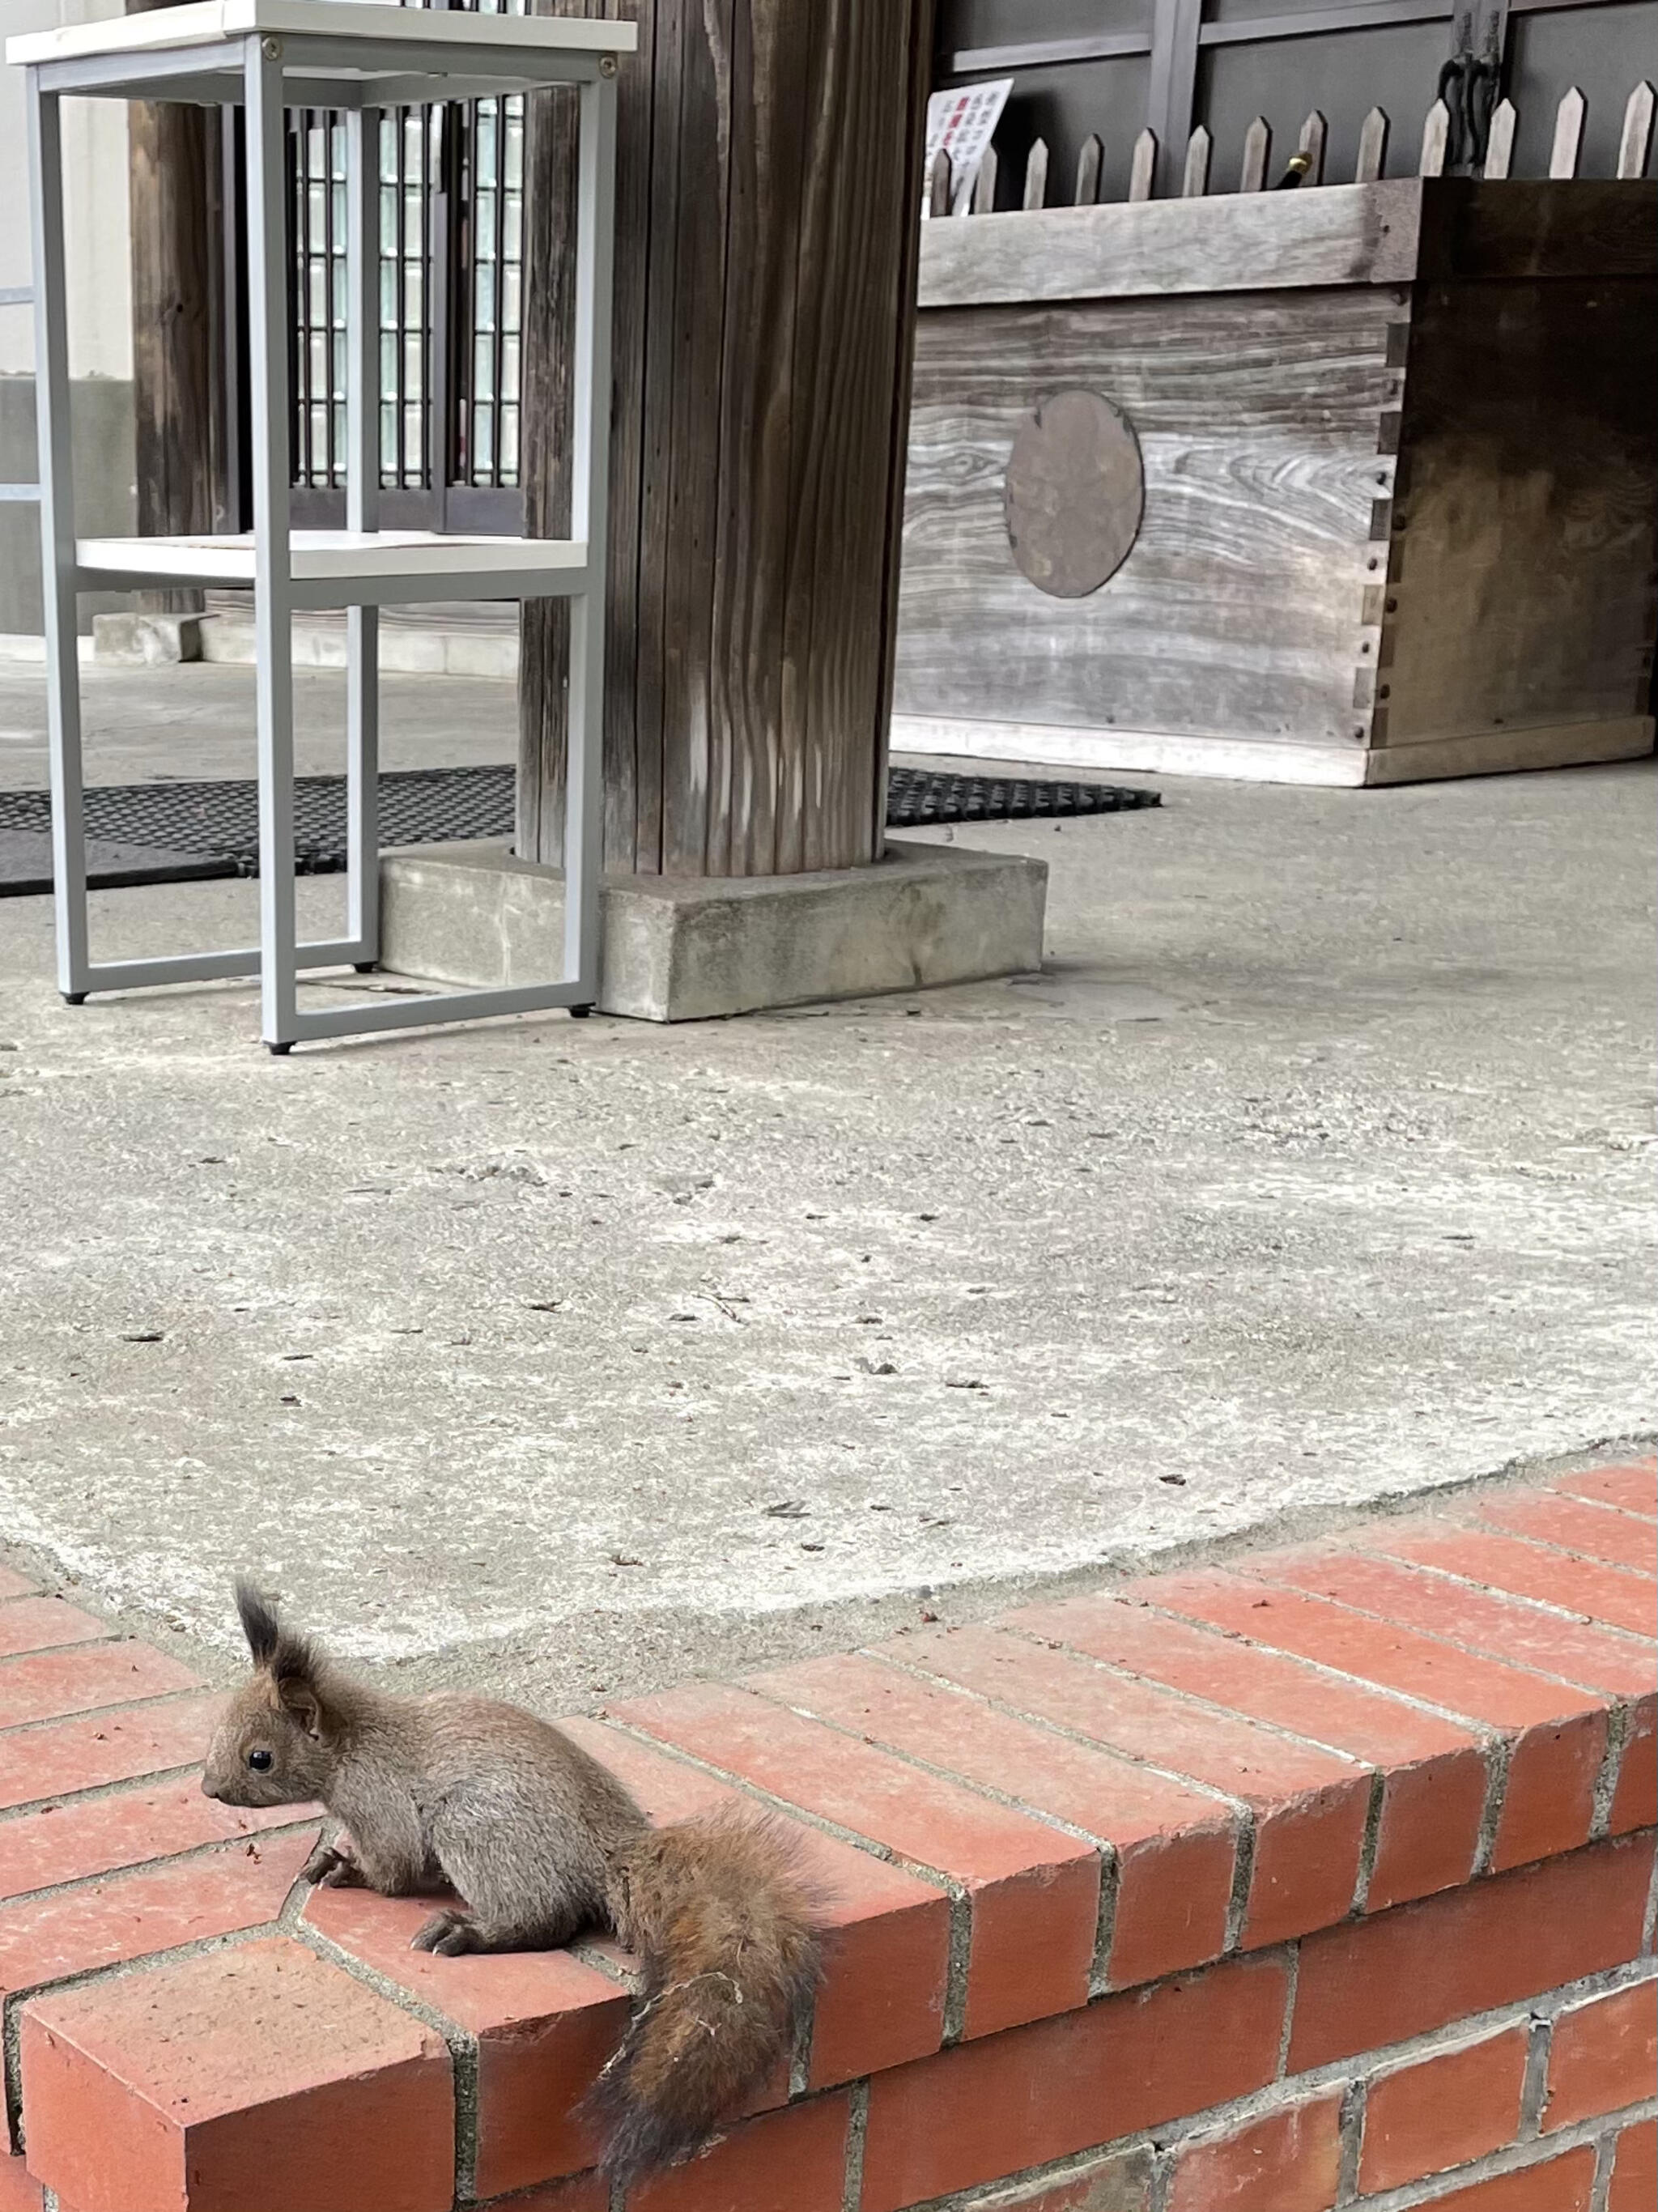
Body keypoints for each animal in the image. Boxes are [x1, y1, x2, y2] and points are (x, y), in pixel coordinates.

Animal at [201, 1584, 827, 2185]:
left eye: (260, 1758)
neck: (354, 1742)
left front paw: (344, 1868)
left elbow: (395, 1870)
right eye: (217, 1730)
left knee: (548, 1919)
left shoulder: (380, 1805)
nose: (209, 1789)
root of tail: (607, 1855)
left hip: (474, 1828)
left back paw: (468, 1932)